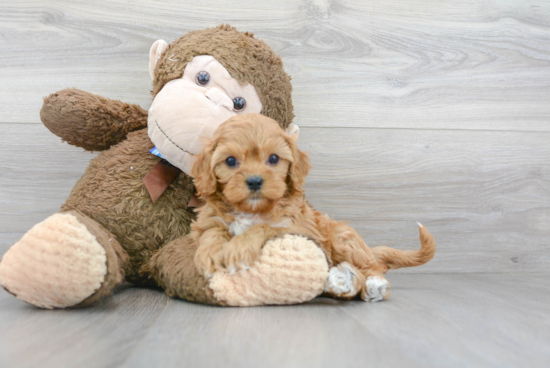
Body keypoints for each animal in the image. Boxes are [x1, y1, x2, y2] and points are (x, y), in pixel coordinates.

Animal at [192, 114, 438, 302]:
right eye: (230, 161)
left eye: (274, 158)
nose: (254, 181)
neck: (252, 210)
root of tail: (369, 250)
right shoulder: (207, 220)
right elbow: (213, 230)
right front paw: (210, 253)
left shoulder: (297, 227)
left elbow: (263, 227)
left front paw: (238, 248)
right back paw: (342, 280)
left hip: (341, 237)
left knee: (372, 269)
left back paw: (371, 285)